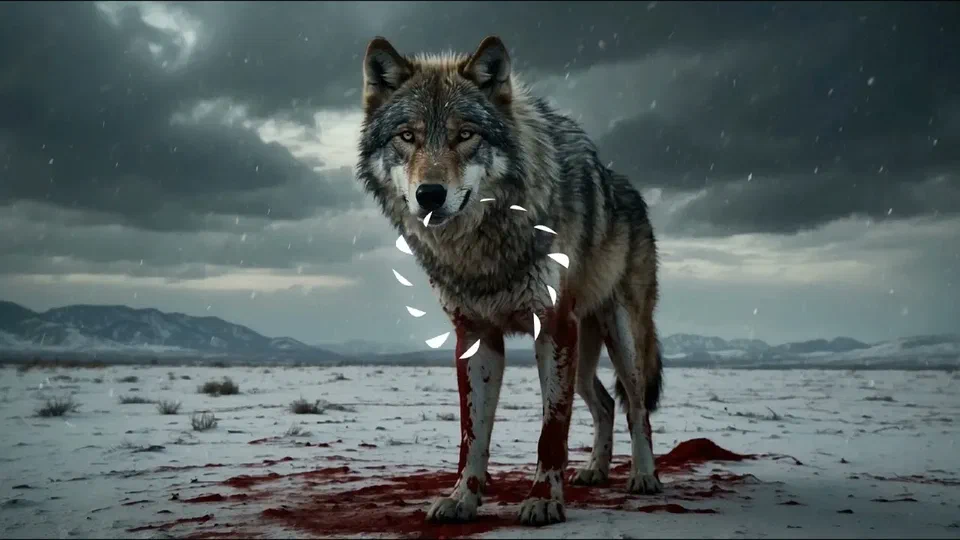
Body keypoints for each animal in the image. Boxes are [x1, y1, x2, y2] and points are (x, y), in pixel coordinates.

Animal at [356, 35, 664, 527]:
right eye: (408, 136)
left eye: (465, 135)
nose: (430, 194)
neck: (482, 252)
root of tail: (631, 191)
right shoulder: (475, 335)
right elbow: (473, 434)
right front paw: (462, 498)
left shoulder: (553, 327)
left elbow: (551, 430)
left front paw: (542, 500)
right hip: (583, 358)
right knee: (604, 404)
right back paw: (595, 471)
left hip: (623, 342)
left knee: (636, 408)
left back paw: (644, 476)